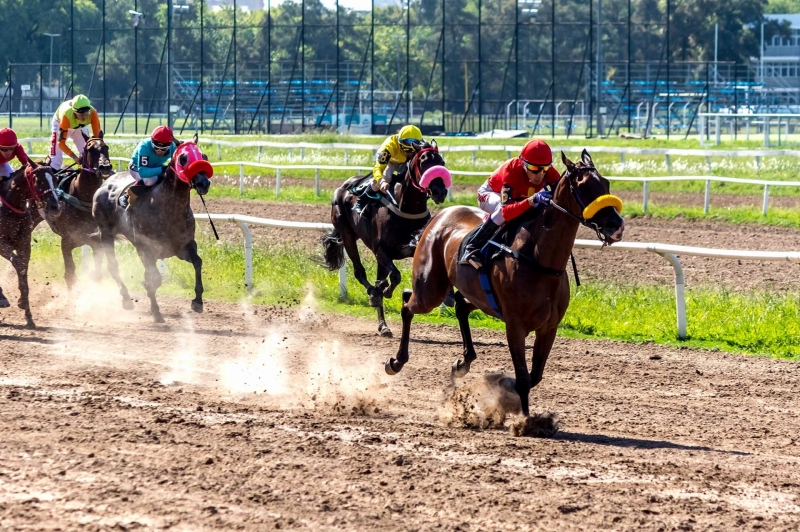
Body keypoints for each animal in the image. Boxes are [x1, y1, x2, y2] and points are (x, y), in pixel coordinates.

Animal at [0, 164, 63, 326]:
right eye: (39, 181)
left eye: (55, 179)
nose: (55, 206)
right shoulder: (1, 244)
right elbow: (18, 264)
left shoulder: (24, 244)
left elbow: (23, 268)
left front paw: (27, 312)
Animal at [42, 135, 112, 288]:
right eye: (90, 149)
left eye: (106, 147)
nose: (105, 167)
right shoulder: (66, 241)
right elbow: (70, 274)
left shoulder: (96, 242)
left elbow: (97, 274)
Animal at [90, 135, 212, 322]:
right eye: (183, 158)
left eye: (204, 156)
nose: (203, 183)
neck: (168, 209)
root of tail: (107, 182)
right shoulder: (146, 248)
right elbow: (154, 278)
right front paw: (156, 311)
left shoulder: (184, 246)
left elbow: (198, 262)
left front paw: (198, 301)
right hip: (106, 232)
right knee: (112, 265)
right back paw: (126, 299)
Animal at [322, 140, 454, 336]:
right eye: (423, 162)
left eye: (442, 162)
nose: (440, 191)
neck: (406, 208)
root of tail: (343, 186)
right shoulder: (381, 251)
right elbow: (396, 276)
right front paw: (385, 292)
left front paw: (449, 296)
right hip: (347, 235)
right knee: (360, 272)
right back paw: (374, 296)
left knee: (378, 279)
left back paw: (383, 324)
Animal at [386, 152, 624, 418]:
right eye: (584, 187)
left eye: (606, 183)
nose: (616, 225)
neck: (540, 260)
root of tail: (439, 217)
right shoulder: (515, 326)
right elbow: (524, 378)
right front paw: (524, 419)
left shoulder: (549, 327)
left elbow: (534, 376)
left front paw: (506, 390)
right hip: (430, 290)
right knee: (407, 303)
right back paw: (396, 361)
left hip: (478, 297)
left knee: (459, 306)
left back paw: (463, 362)